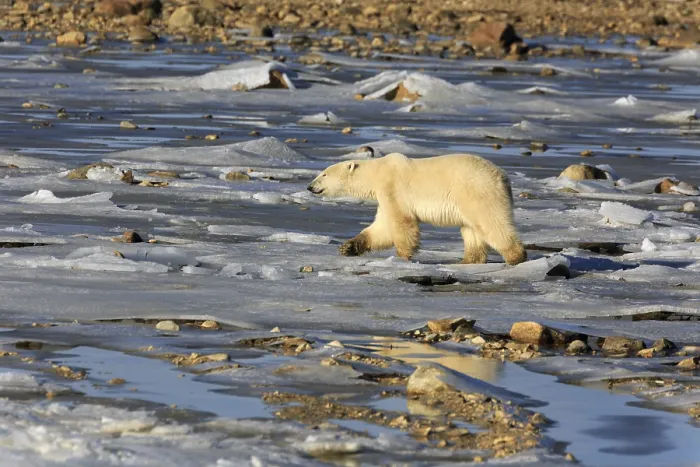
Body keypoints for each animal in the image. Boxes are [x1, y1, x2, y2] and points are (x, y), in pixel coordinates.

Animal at [307, 152, 527, 265]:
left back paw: (516, 258)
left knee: (492, 224)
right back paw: (468, 261)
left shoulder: (392, 188)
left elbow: (402, 222)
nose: (310, 187)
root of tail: (503, 178)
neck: (377, 172)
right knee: (471, 231)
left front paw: (401, 257)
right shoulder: (383, 197)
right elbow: (381, 227)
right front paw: (348, 247)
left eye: (324, 174)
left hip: (478, 193)